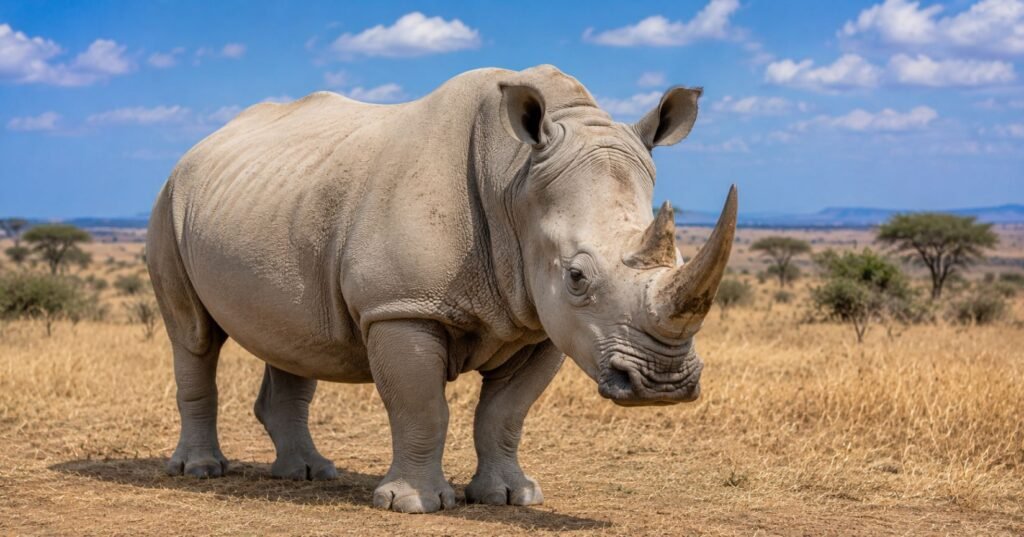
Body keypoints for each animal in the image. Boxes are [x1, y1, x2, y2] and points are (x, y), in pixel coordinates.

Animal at [147, 64, 737, 513]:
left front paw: (512, 497)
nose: (663, 384)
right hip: (170, 199)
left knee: (294, 339)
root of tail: (199, 147)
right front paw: (412, 504)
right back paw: (201, 470)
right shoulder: (401, 306)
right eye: (577, 276)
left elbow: (505, 414)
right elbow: (422, 406)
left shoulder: (542, 324)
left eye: (679, 258)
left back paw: (310, 474)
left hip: (275, 202)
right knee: (193, 336)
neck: (514, 179)